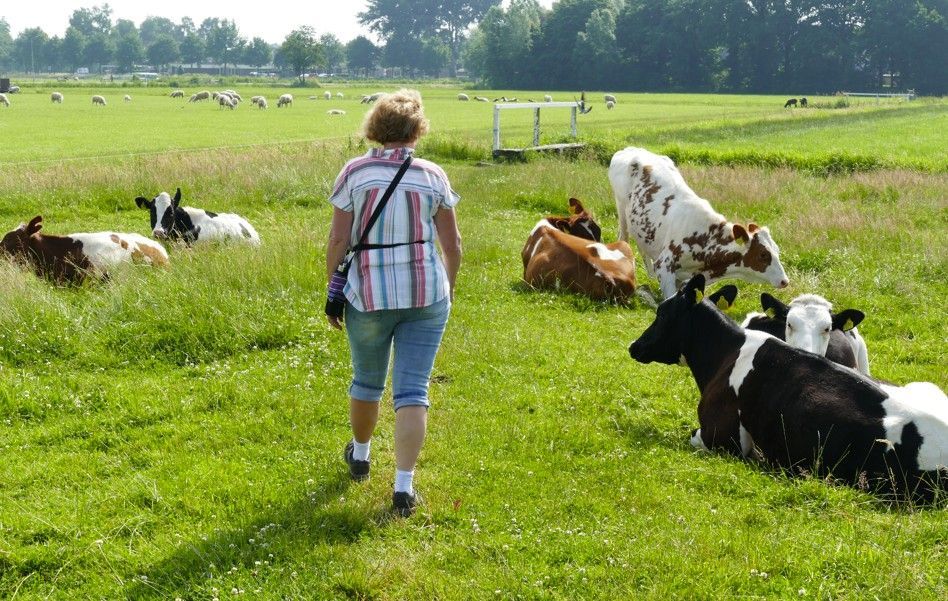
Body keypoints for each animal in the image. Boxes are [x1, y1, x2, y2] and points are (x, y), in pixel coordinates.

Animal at [609, 147, 788, 298]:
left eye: (777, 250)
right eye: (763, 254)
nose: (785, 281)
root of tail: (630, 150)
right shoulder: (664, 266)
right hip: (621, 213)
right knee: (623, 239)